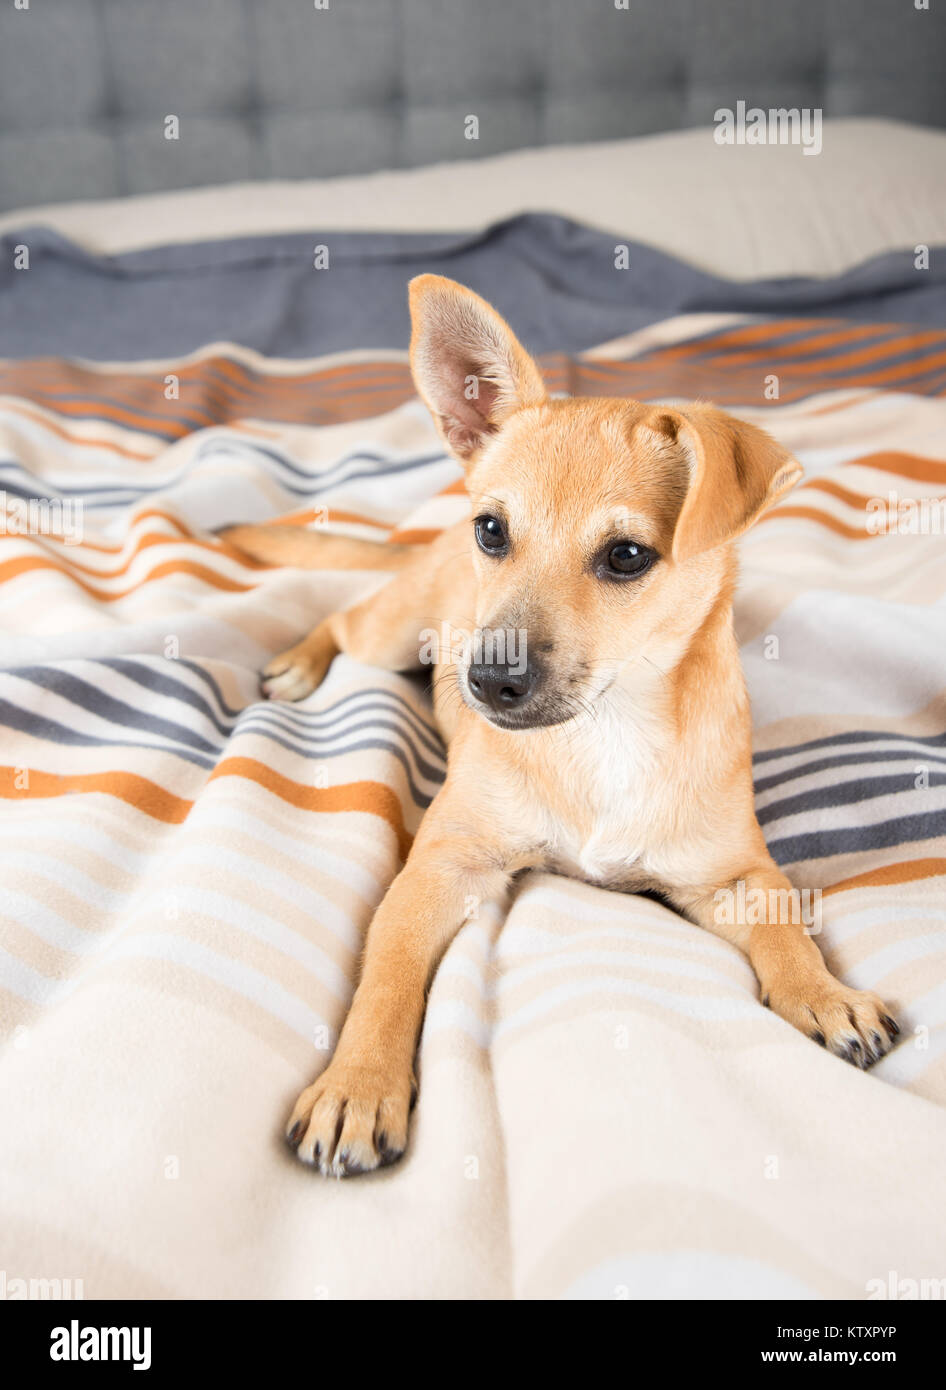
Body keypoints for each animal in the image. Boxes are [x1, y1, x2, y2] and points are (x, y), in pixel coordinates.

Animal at [223, 271, 900, 1173]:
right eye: (493, 530)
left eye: (627, 556)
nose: (485, 679)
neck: (604, 729)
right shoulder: (440, 867)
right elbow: (388, 977)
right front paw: (358, 1084)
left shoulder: (732, 874)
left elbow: (787, 924)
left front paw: (826, 996)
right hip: (393, 628)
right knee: (343, 618)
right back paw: (301, 662)